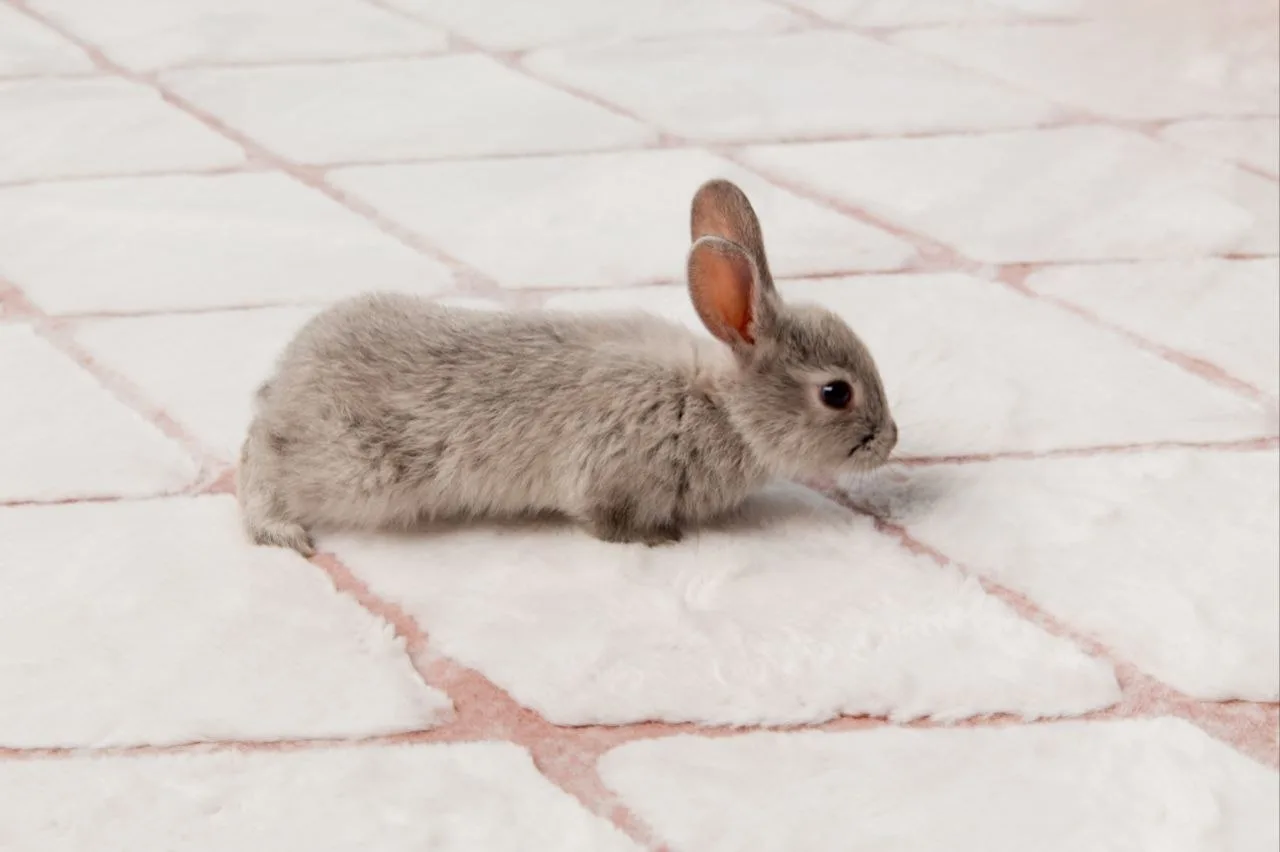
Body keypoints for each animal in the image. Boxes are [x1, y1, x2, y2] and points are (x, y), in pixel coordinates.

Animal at [237, 179, 897, 555]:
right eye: (836, 393)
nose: (889, 440)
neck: (723, 406)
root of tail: (285, 381)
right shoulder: (615, 476)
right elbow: (607, 523)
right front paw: (660, 539)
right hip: (355, 468)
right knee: (263, 468)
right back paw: (280, 532)